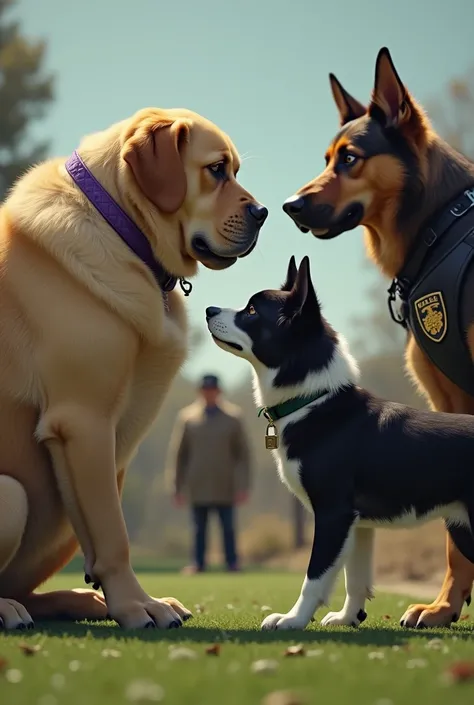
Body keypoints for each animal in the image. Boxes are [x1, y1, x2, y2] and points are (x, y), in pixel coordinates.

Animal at [206, 256, 474, 628]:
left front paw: (293, 619)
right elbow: (355, 577)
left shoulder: (333, 513)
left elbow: (315, 576)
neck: (313, 400)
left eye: (251, 311)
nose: (208, 309)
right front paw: (349, 617)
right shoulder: (357, 523)